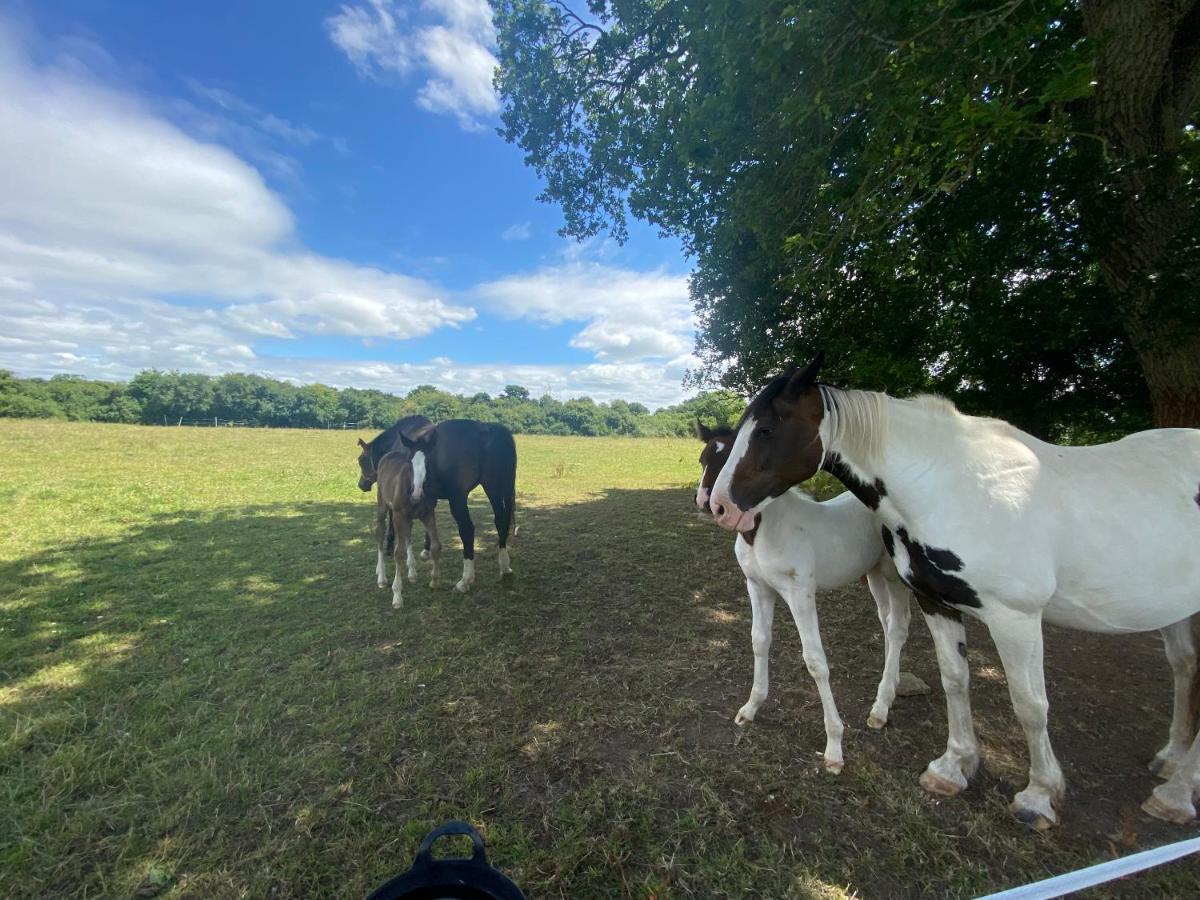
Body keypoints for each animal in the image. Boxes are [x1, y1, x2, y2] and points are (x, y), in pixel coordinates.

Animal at [372, 448, 444, 609]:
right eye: (410, 465)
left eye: (428, 463)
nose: (416, 494)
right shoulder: (399, 516)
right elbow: (398, 553)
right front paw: (397, 596)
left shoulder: (428, 514)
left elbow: (436, 546)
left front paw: (434, 581)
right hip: (383, 505)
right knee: (380, 533)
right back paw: (381, 576)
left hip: (407, 518)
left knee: (408, 535)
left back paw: (411, 573)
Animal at [400, 422, 518, 595]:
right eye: (410, 461)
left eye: (428, 462)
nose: (415, 493)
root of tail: (486, 429)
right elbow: (430, 523)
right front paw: (427, 550)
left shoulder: (431, 496)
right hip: (493, 487)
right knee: (501, 521)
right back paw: (505, 566)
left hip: (459, 498)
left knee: (467, 529)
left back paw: (465, 581)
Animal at [696, 422, 916, 777]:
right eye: (702, 459)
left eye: (733, 457)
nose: (707, 503)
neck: (765, 531)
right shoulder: (757, 587)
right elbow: (759, 641)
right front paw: (750, 708)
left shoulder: (800, 594)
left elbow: (815, 661)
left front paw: (835, 747)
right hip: (872, 575)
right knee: (886, 622)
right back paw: (891, 685)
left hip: (893, 575)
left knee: (898, 628)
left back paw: (881, 707)